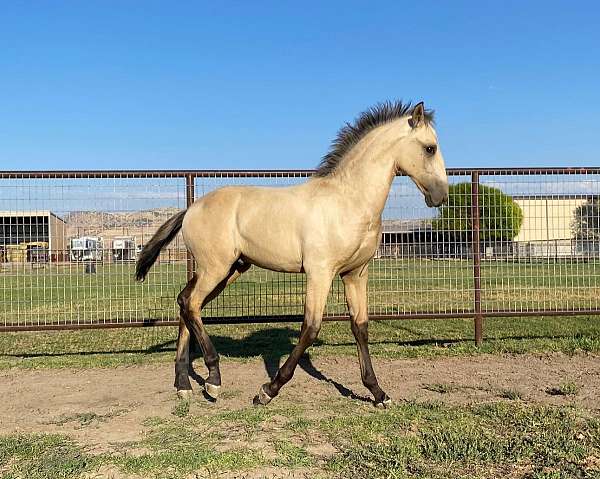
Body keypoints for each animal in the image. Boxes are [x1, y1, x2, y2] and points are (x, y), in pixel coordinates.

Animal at [135, 101, 446, 408]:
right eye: (430, 148)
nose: (440, 196)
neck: (348, 201)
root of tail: (191, 209)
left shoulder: (355, 274)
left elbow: (360, 327)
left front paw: (378, 393)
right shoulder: (320, 273)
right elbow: (310, 328)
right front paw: (267, 391)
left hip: (228, 270)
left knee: (185, 303)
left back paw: (184, 385)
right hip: (215, 268)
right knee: (191, 304)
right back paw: (213, 380)